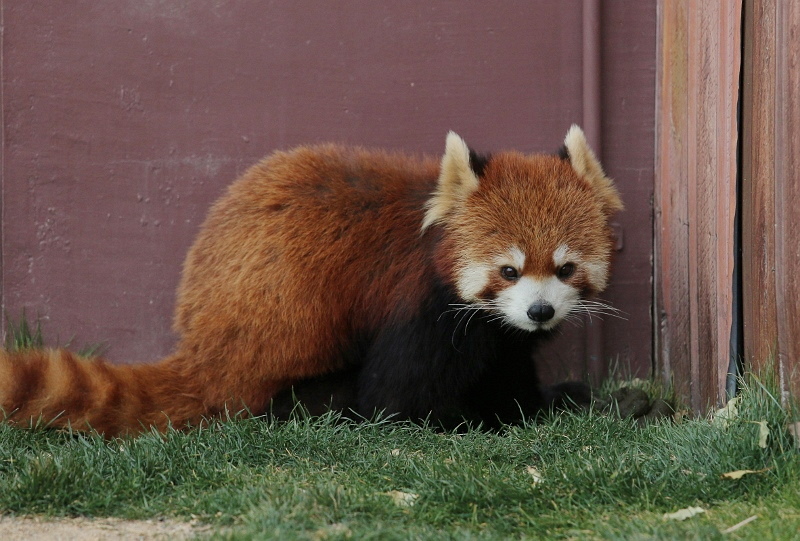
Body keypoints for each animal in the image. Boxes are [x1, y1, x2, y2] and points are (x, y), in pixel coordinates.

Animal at [0, 125, 624, 434]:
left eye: (565, 268)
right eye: (508, 270)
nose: (540, 312)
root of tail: (200, 349)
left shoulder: (496, 333)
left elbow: (507, 363)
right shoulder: (420, 308)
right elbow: (398, 402)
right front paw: (522, 412)